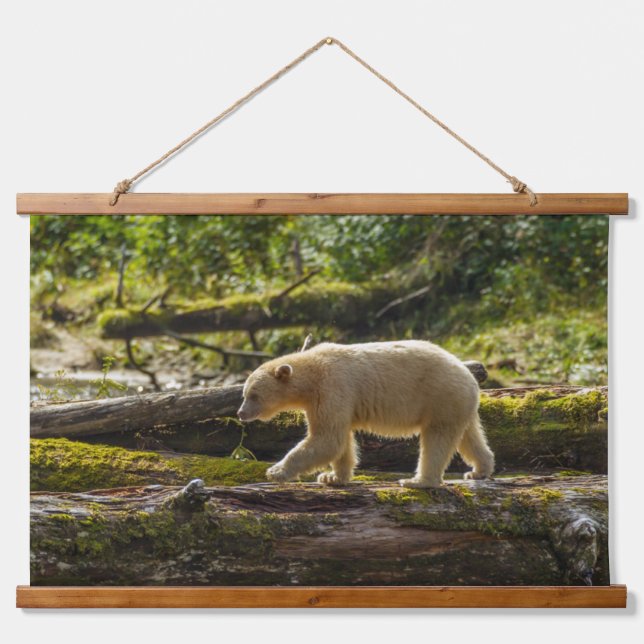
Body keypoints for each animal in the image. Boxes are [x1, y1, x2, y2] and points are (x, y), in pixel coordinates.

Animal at [237, 340, 494, 488]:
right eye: (244, 393)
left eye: (254, 395)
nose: (241, 413)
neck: (312, 371)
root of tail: (470, 376)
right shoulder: (325, 399)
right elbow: (339, 440)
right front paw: (332, 477)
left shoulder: (332, 386)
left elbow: (327, 438)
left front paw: (275, 471)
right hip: (458, 404)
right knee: (469, 436)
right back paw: (479, 470)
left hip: (439, 397)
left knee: (436, 440)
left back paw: (418, 481)